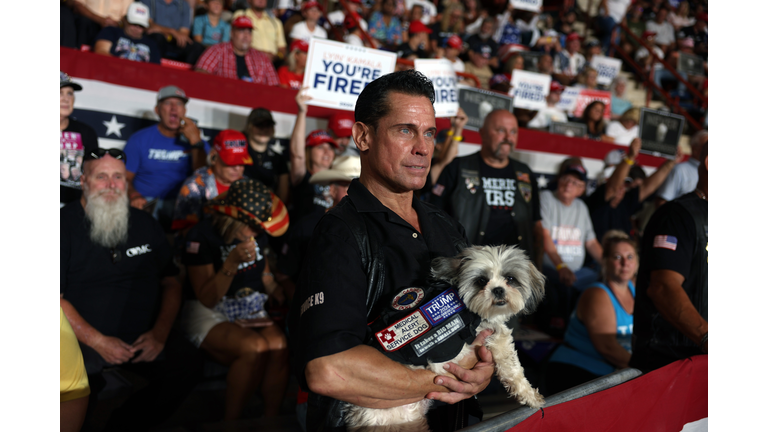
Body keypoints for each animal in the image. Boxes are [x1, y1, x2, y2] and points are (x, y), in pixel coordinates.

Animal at [344, 245, 548, 430]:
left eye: (510, 278)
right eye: (481, 281)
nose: (498, 290)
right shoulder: (483, 341)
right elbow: (509, 366)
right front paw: (529, 395)